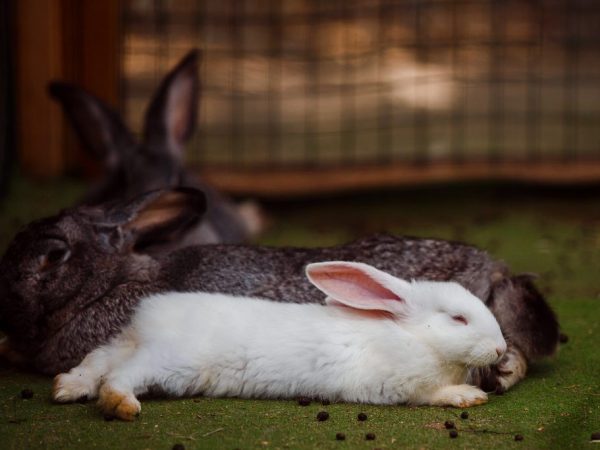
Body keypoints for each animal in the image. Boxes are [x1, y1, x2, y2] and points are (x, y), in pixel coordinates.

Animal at [52, 262, 506, 420]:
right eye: (458, 319)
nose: (502, 349)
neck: (415, 337)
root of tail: (149, 319)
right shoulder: (395, 384)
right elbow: (429, 394)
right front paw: (466, 395)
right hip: (169, 363)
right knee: (119, 376)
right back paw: (122, 405)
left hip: (131, 346)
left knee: (99, 360)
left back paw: (67, 387)